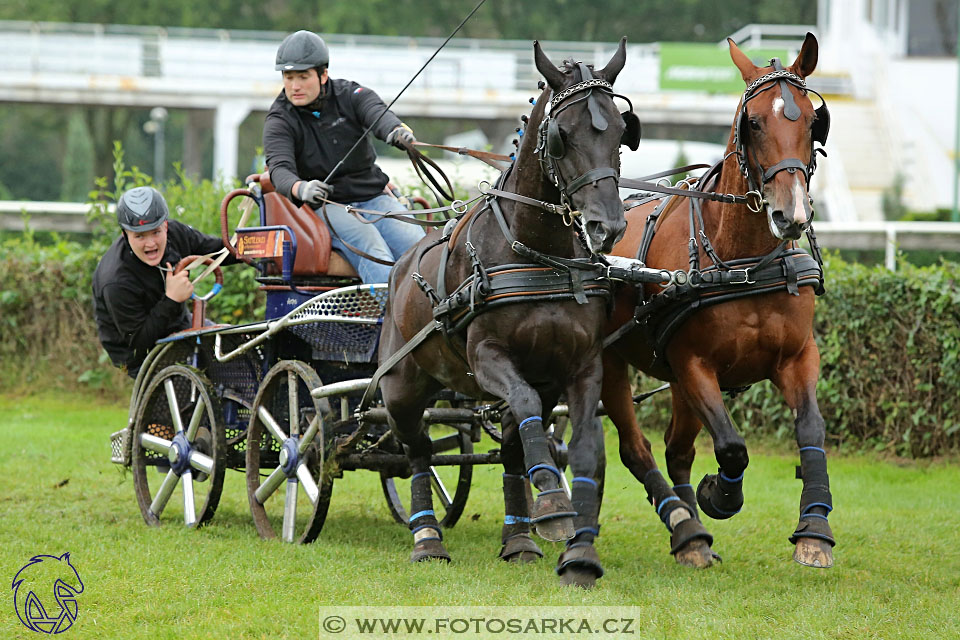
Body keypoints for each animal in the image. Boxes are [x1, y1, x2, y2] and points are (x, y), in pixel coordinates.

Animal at [376, 37, 636, 584]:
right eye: (562, 135)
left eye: (623, 132)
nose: (607, 227)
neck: (540, 255)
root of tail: (401, 264)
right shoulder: (488, 357)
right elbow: (522, 401)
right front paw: (554, 502)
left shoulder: (578, 366)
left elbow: (584, 447)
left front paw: (579, 550)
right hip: (402, 386)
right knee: (416, 450)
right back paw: (427, 536)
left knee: (513, 445)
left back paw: (519, 537)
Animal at [604, 32, 836, 568]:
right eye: (753, 122)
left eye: (812, 120)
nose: (791, 215)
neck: (741, 263)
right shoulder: (693, 364)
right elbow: (731, 446)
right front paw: (720, 495)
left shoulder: (797, 356)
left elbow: (811, 430)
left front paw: (814, 530)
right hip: (607, 361)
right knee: (636, 447)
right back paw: (686, 529)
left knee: (677, 450)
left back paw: (691, 533)